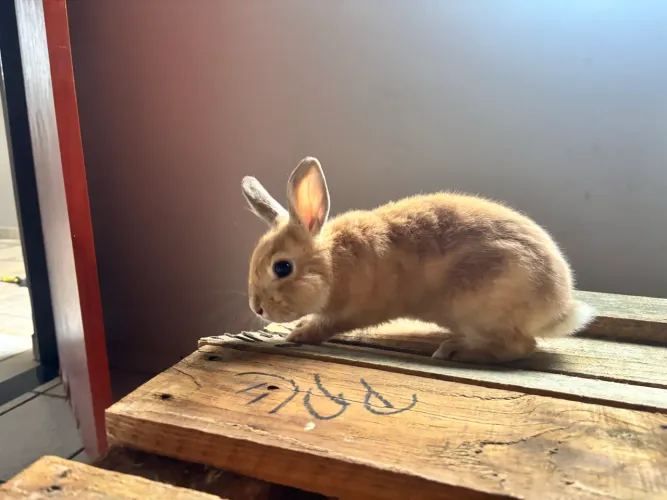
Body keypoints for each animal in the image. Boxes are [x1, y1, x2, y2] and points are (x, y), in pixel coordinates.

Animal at [241, 157, 595, 363]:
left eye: (282, 267)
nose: (257, 309)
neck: (332, 264)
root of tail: (559, 307)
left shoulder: (351, 311)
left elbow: (327, 325)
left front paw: (297, 335)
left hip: (481, 307)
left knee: (522, 346)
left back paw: (456, 351)